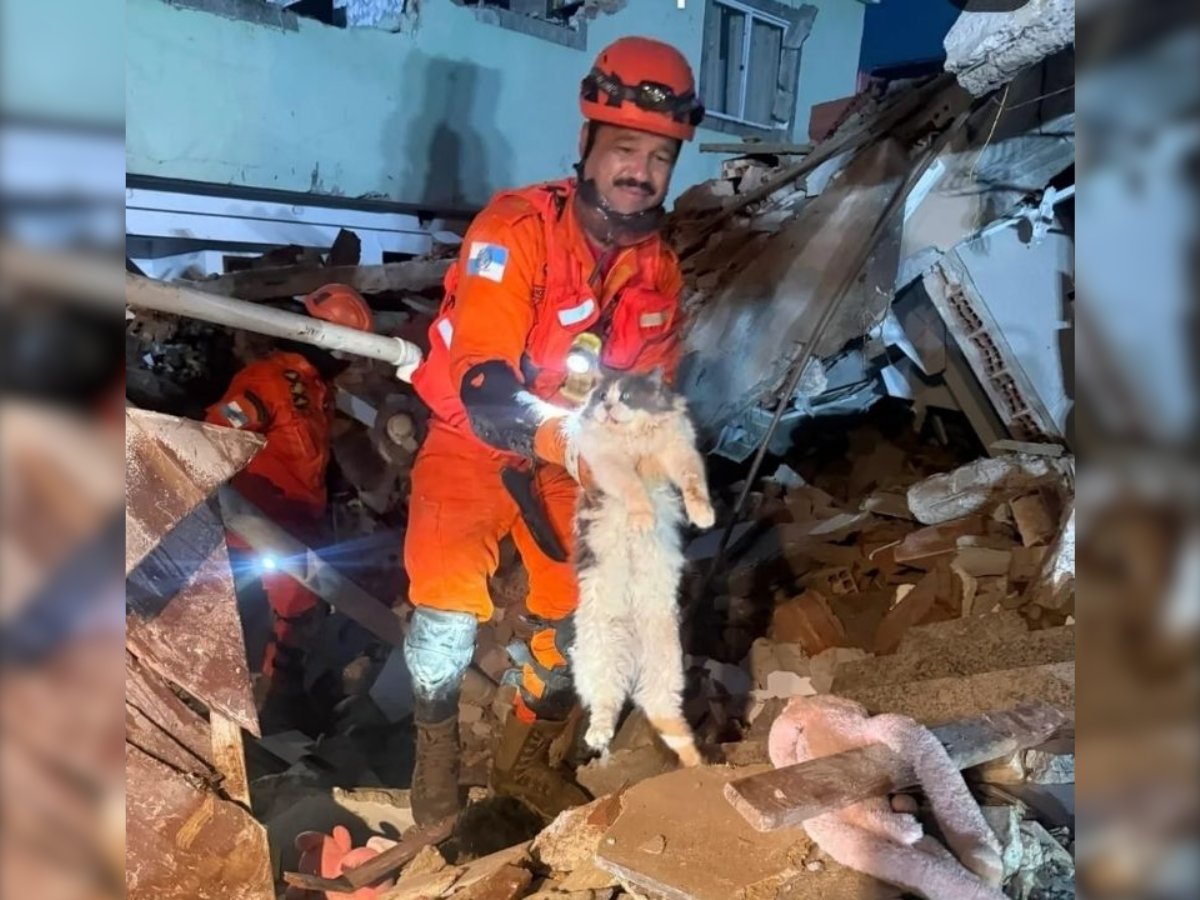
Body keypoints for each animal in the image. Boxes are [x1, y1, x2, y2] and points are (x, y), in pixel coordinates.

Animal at [567, 369, 715, 769]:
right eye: (601, 396)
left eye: (627, 396)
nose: (607, 406)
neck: (633, 440)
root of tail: (632, 654)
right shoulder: (608, 462)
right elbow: (633, 488)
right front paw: (643, 520)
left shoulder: (680, 450)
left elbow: (694, 485)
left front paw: (704, 517)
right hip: (598, 659)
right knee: (606, 706)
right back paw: (597, 736)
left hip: (664, 676)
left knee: (671, 725)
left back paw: (700, 765)